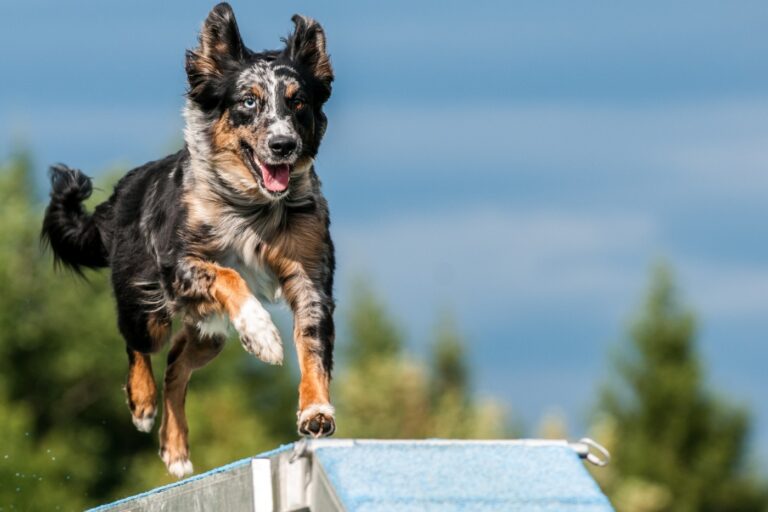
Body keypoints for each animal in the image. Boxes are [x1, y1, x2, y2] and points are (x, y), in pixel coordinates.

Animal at [40, 2, 336, 478]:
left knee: (176, 364)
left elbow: (312, 343)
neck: (252, 207)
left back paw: (176, 450)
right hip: (147, 308)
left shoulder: (310, 275)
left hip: (209, 333)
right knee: (141, 346)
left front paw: (316, 410)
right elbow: (229, 276)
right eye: (248, 101)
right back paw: (142, 405)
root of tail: (122, 194)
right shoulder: (178, 264)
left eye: (298, 102)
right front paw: (262, 334)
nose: (283, 145)